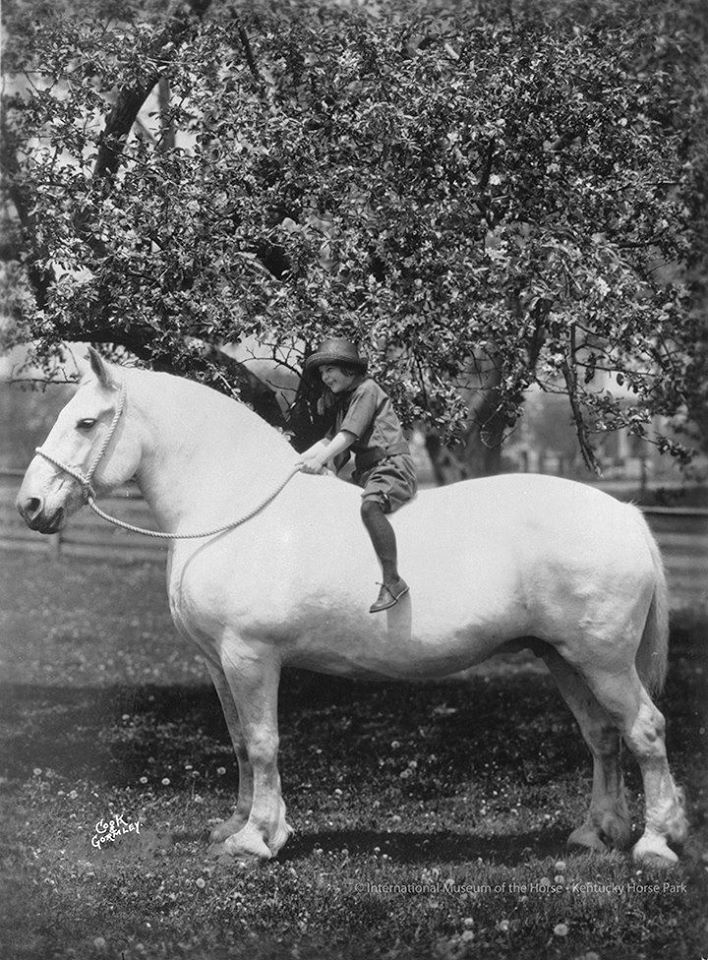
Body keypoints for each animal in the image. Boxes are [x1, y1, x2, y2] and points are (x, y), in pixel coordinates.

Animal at [18, 348, 684, 868]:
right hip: (562, 657)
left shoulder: (250, 657)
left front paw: (258, 839)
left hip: (603, 660)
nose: (30, 505)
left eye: (85, 421)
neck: (234, 506)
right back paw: (597, 833)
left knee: (645, 730)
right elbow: (239, 741)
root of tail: (623, 514)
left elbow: (263, 741)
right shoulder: (217, 663)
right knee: (602, 735)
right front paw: (236, 826)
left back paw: (656, 842)